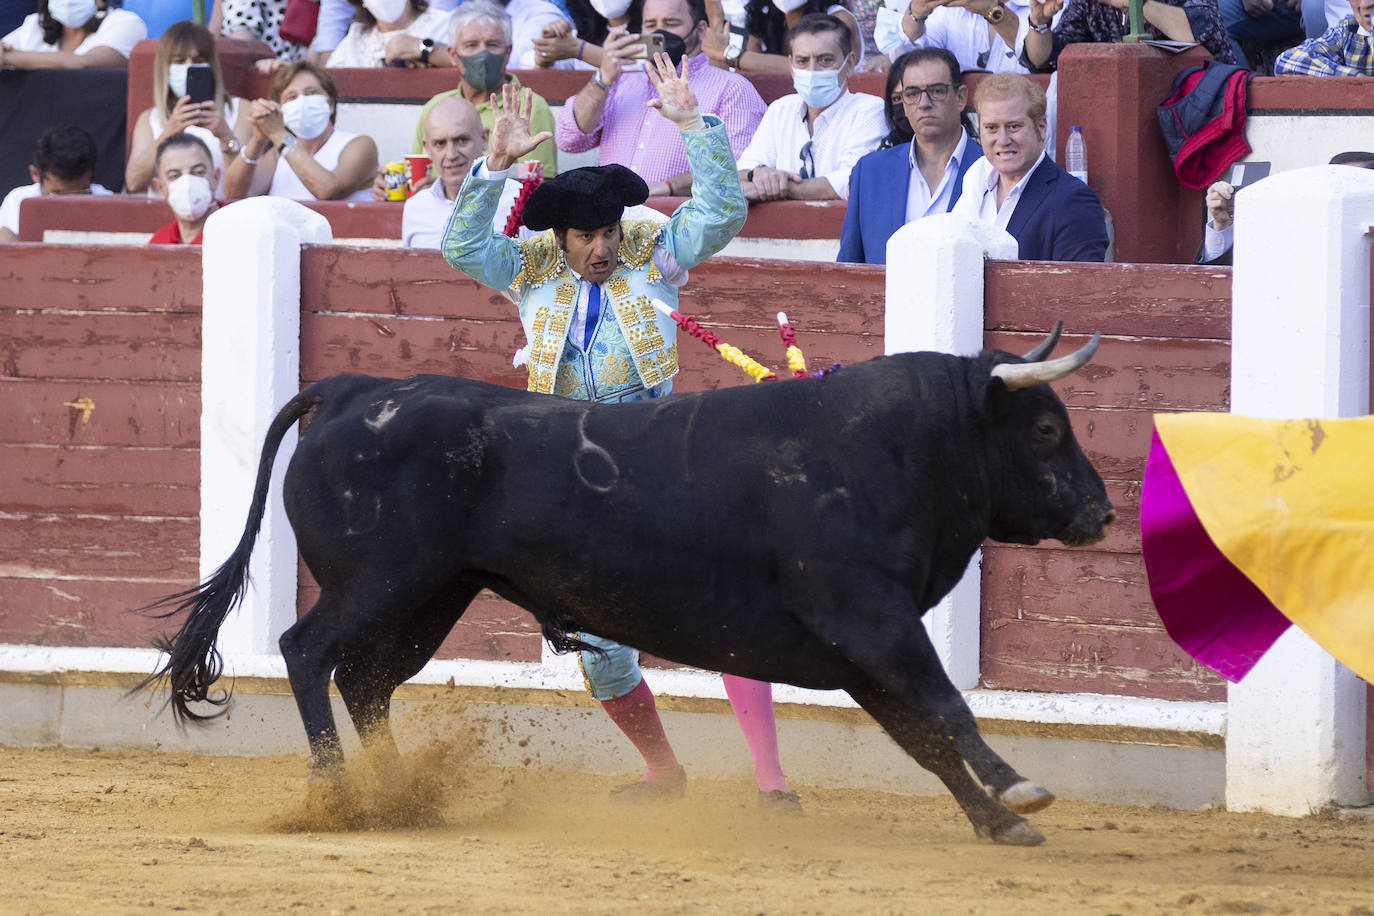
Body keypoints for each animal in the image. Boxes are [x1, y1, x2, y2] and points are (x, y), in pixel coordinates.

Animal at [142, 325, 1115, 851]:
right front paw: (1021, 793)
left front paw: (998, 822)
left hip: (434, 595)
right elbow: (948, 708)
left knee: (366, 678)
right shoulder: (871, 619)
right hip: (379, 583)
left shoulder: (860, 649)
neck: (896, 447)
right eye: (1043, 428)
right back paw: (341, 798)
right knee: (307, 651)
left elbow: (924, 735)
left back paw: (398, 799)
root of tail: (359, 387)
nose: (1102, 512)